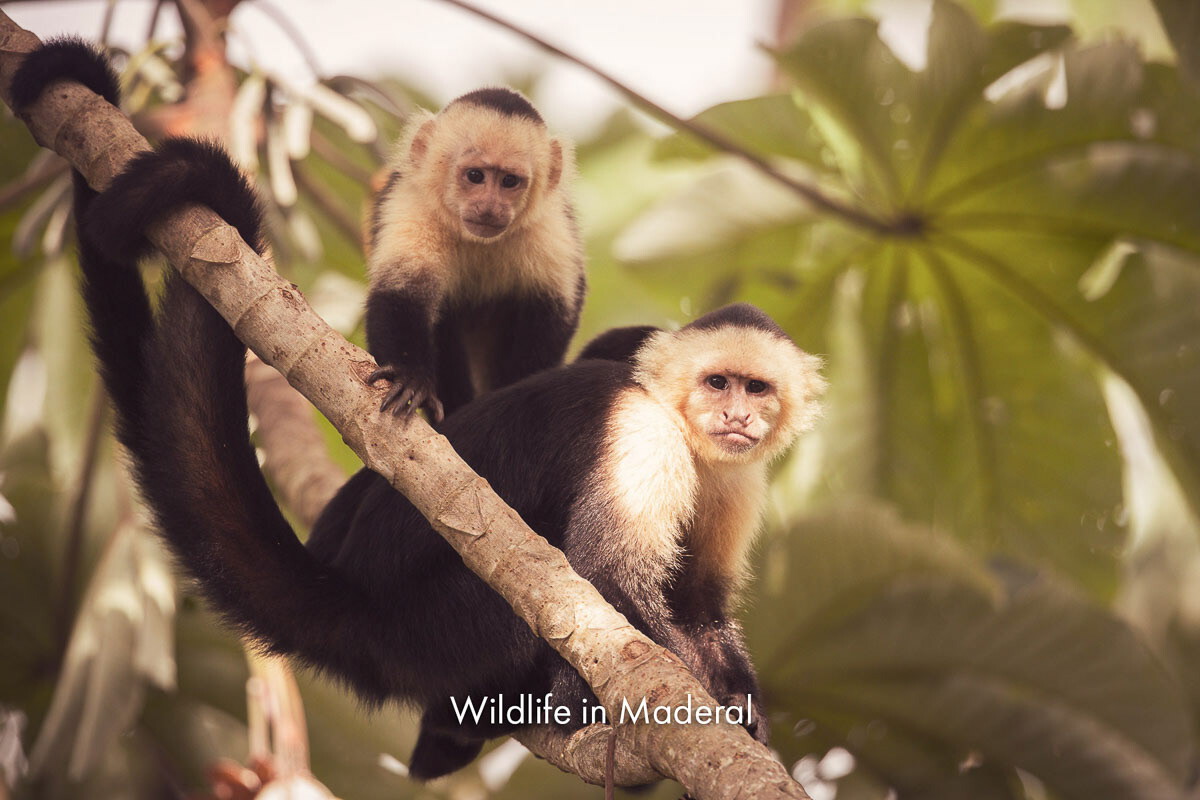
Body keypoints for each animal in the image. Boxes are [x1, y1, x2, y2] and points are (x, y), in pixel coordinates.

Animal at [365, 87, 586, 422]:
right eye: (475, 175)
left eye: (509, 181)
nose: (489, 208)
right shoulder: (410, 204)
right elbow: (399, 292)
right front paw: (409, 377)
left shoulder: (551, 226)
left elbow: (553, 311)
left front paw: (518, 392)